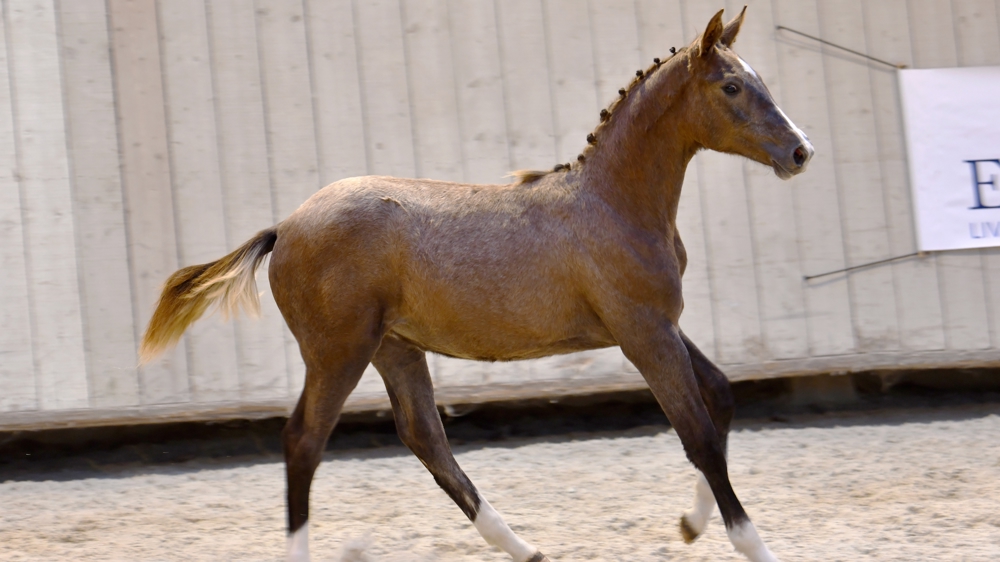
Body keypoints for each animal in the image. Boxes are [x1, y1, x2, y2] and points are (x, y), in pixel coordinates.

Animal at [143, 8, 812, 560]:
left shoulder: (658, 325)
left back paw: (527, 550)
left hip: (394, 348)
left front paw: (690, 525)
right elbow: (697, 433)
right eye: (731, 86)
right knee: (304, 441)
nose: (801, 152)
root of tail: (283, 227)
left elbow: (719, 399)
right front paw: (754, 546)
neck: (613, 202)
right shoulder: (642, 332)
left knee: (426, 439)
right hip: (339, 351)